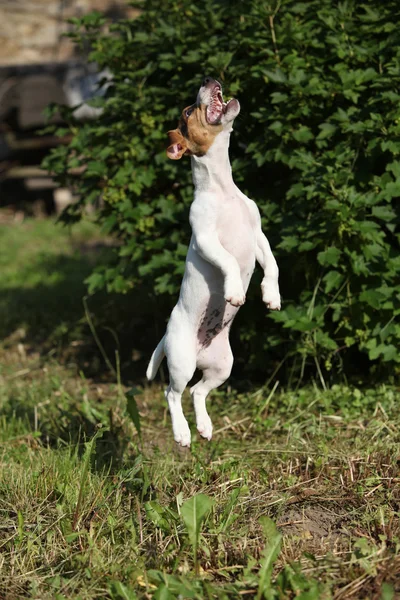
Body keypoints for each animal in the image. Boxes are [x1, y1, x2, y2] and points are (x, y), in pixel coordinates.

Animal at [145, 76, 280, 446]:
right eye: (188, 111)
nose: (209, 78)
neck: (223, 190)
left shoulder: (258, 236)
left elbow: (272, 265)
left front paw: (271, 295)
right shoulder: (206, 239)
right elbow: (229, 261)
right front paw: (234, 292)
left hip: (222, 366)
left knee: (198, 392)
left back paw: (204, 426)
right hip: (181, 361)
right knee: (173, 393)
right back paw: (182, 433)